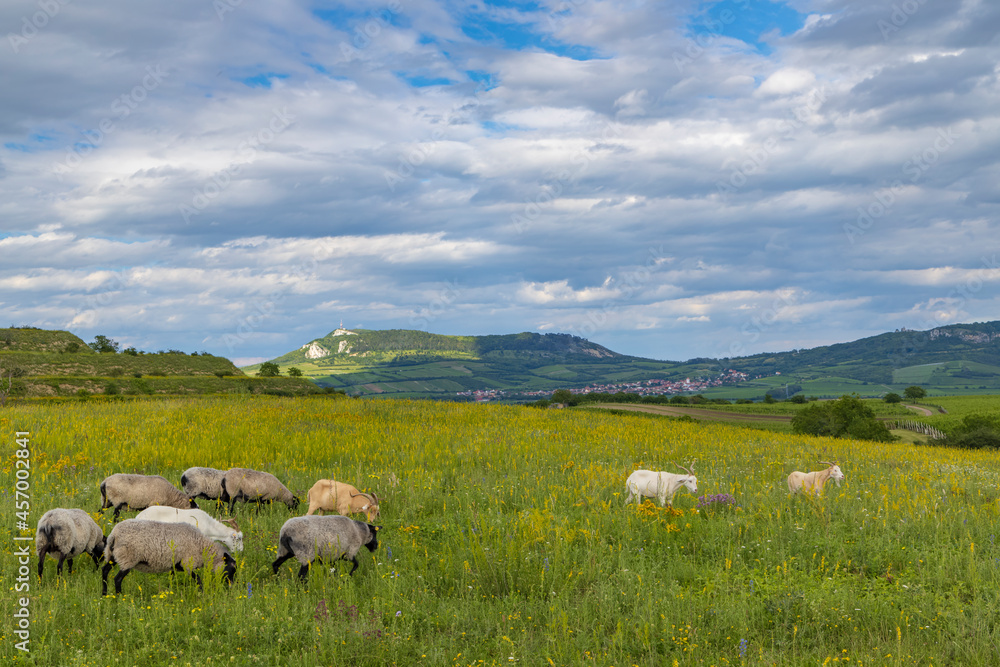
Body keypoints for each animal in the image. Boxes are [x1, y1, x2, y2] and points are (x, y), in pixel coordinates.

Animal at [100, 520, 236, 596]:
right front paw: (201, 593)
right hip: (127, 558)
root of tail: (114, 534)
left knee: (105, 570)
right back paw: (119, 597)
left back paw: (104, 594)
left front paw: (169, 592)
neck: (202, 546)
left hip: (113, 555)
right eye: (231, 568)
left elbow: (171, 578)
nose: (231, 587)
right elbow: (198, 579)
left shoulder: (175, 565)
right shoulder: (188, 563)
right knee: (117, 579)